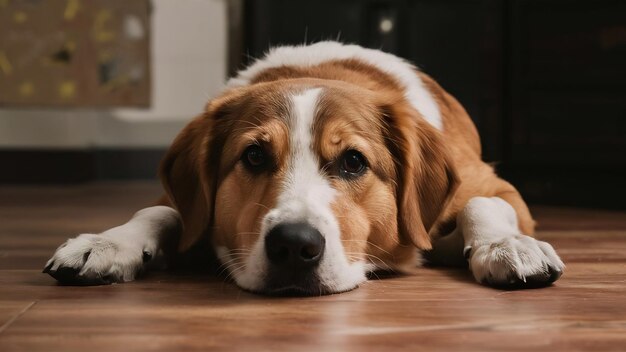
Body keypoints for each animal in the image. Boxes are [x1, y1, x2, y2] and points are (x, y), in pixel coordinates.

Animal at [41, 41, 564, 294]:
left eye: (353, 161)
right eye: (254, 156)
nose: (294, 246)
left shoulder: (495, 186)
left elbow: (482, 202)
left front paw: (507, 245)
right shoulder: (179, 202)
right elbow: (161, 212)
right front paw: (108, 243)